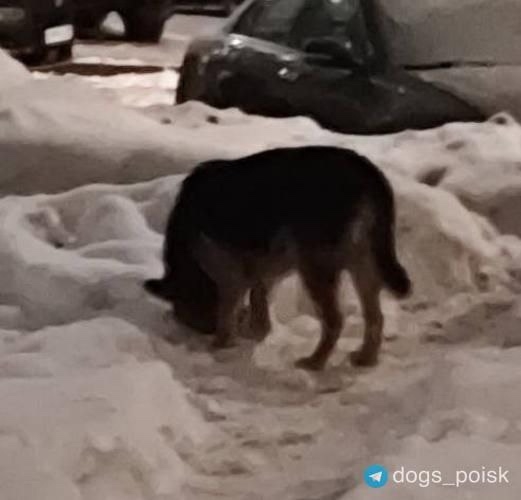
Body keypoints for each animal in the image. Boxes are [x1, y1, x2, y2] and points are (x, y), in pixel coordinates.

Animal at [144, 146, 411, 370]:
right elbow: (258, 300)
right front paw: (255, 331)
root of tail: (367, 171)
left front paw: (221, 344)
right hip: (363, 263)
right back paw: (366, 358)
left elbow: (228, 310)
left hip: (316, 268)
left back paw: (315, 362)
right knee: (375, 317)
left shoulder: (228, 272)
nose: (202, 332)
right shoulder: (266, 266)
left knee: (335, 320)